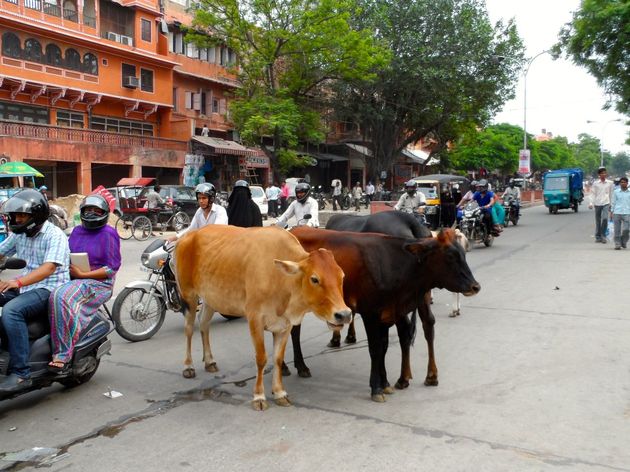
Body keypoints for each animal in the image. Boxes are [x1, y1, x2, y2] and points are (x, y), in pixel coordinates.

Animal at [175, 225, 354, 410]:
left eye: (342, 276)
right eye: (314, 279)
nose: (344, 314)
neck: (280, 280)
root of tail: (189, 235)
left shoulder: (285, 325)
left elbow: (277, 359)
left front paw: (280, 393)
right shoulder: (255, 319)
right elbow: (261, 358)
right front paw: (259, 397)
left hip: (211, 298)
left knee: (204, 324)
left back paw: (210, 361)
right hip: (188, 295)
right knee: (189, 329)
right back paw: (188, 366)